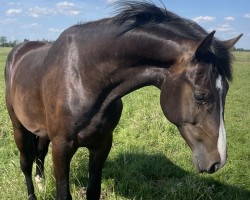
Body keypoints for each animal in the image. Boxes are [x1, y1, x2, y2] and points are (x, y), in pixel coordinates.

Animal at [4, 0, 242, 199]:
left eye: (226, 91)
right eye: (200, 95)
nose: (218, 161)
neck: (82, 76)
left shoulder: (102, 145)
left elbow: (93, 191)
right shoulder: (62, 148)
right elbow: (63, 194)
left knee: (39, 154)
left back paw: (41, 183)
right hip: (19, 127)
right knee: (25, 163)